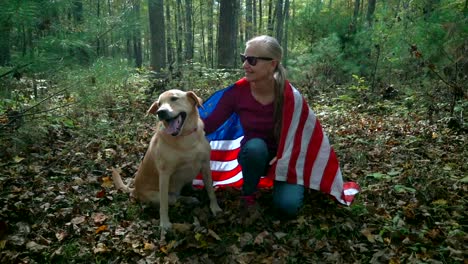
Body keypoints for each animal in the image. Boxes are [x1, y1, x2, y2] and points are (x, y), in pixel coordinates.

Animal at [113, 89, 223, 229]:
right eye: (159, 104)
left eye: (174, 99)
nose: (160, 112)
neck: (185, 138)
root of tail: (135, 190)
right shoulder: (165, 174)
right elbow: (164, 203)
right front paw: (164, 223)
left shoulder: (205, 165)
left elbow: (210, 190)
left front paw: (215, 208)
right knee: (173, 198)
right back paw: (188, 199)